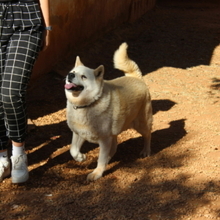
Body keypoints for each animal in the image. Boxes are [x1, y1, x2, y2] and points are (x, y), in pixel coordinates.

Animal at [64, 42, 152, 180]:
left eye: (83, 77)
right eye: (72, 72)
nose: (70, 75)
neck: (87, 105)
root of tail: (137, 78)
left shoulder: (104, 139)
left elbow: (101, 158)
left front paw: (97, 173)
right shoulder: (79, 133)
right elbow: (72, 149)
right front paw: (81, 158)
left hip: (141, 124)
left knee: (148, 135)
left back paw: (146, 151)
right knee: (114, 147)